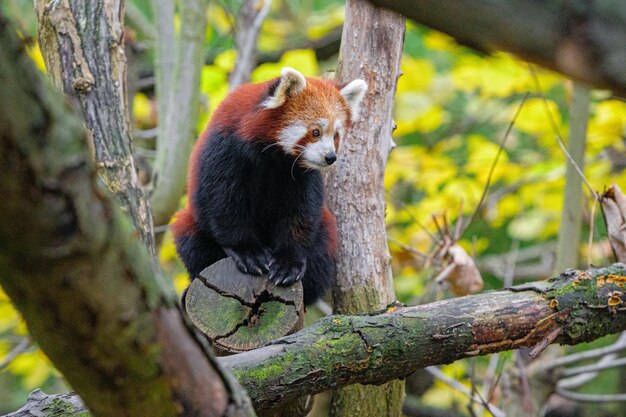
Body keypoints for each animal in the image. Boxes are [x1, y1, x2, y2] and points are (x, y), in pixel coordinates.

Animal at [171, 66, 366, 304]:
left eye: (336, 135)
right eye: (315, 132)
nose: (330, 157)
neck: (273, 158)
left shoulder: (300, 176)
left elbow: (301, 214)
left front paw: (288, 263)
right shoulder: (225, 153)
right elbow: (223, 204)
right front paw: (248, 252)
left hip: (326, 229)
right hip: (191, 223)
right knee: (191, 240)